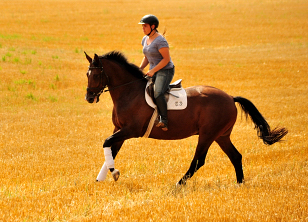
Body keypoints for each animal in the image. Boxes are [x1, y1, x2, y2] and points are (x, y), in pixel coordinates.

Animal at [83, 50, 286, 186]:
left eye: (96, 74)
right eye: (87, 74)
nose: (89, 98)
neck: (129, 92)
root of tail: (230, 97)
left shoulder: (130, 130)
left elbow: (106, 143)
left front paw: (114, 173)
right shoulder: (119, 130)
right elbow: (110, 149)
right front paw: (102, 177)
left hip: (207, 135)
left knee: (199, 160)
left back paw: (179, 183)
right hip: (221, 136)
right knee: (235, 156)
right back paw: (239, 183)